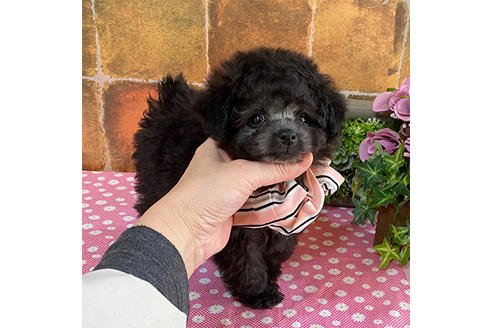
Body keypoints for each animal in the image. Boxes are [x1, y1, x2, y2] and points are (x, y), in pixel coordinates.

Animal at [133, 47, 344, 308]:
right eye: (256, 118)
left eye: (304, 118)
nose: (287, 135)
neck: (274, 185)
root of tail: (171, 101)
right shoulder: (240, 227)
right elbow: (247, 258)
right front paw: (257, 292)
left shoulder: (290, 214)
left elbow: (280, 245)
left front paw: (272, 269)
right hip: (153, 174)